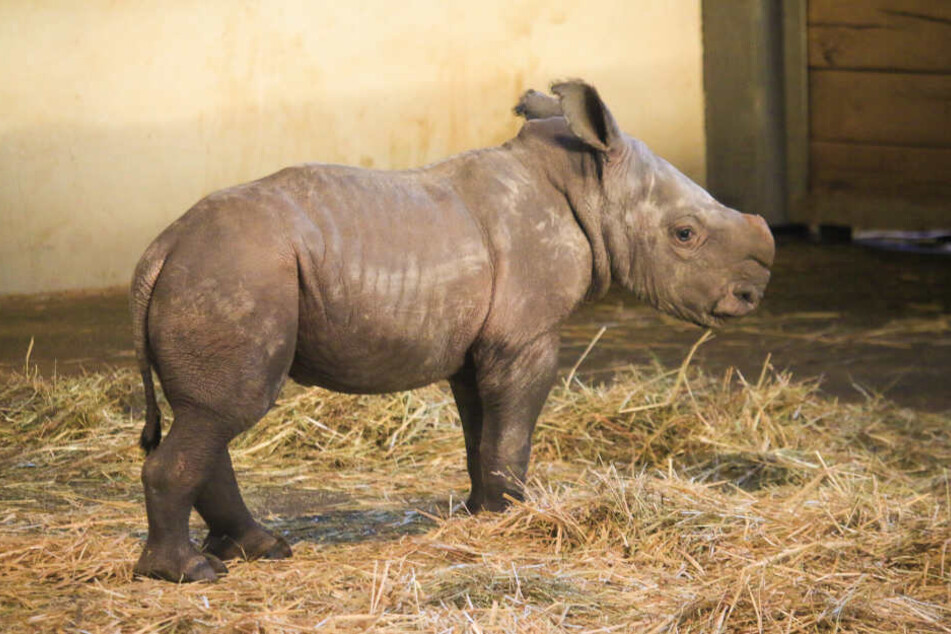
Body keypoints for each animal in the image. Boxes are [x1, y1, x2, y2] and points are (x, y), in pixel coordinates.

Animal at [130, 81, 776, 580]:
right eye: (685, 234)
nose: (751, 295)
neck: (586, 186)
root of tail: (162, 248)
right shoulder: (525, 338)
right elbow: (512, 427)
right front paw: (514, 515)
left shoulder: (479, 345)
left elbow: (481, 430)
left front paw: (479, 513)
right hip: (233, 274)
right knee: (226, 409)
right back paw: (191, 573)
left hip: (217, 272)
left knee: (207, 415)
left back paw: (261, 550)